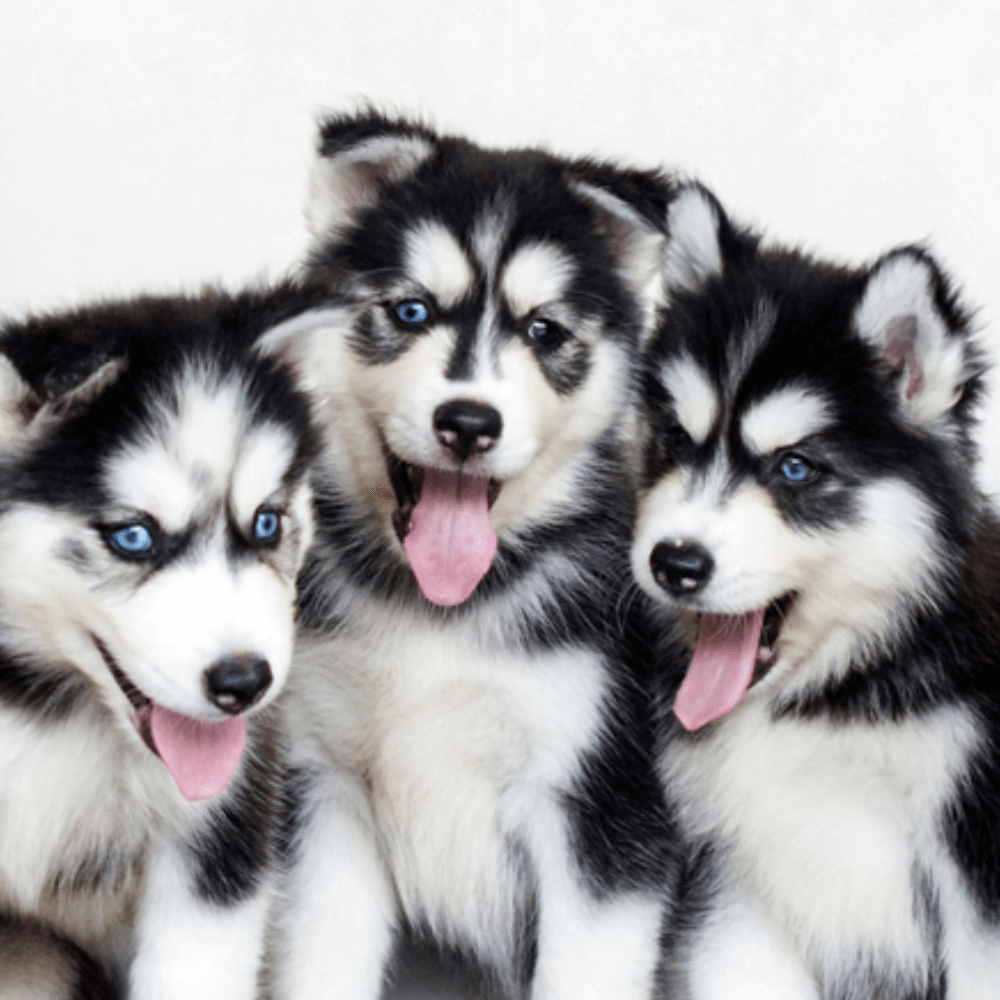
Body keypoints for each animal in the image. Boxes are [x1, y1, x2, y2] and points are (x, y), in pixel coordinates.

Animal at [260, 109, 688, 1000]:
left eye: (543, 331)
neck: (441, 613)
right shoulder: (327, 793)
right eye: (411, 310)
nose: (467, 422)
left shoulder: (602, 821)